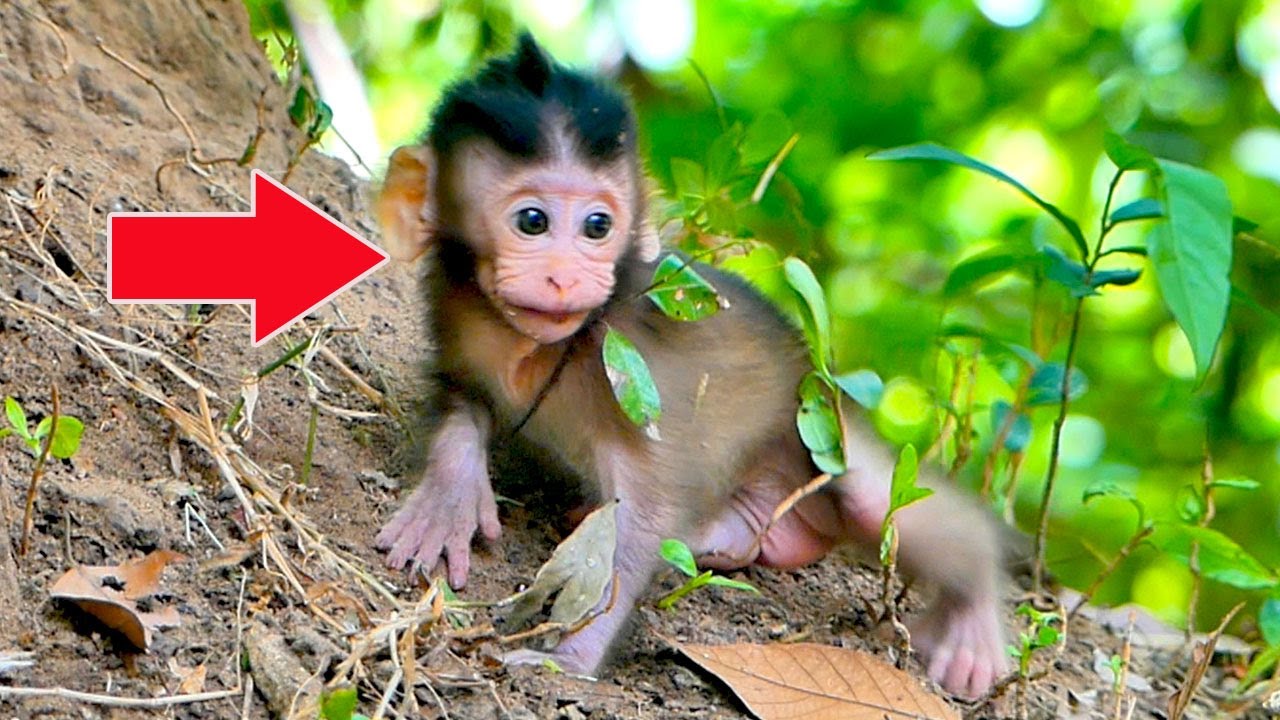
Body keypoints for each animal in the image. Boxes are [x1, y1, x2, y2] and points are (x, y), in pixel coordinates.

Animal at [373, 34, 1007, 698]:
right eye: (532, 221)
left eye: (597, 226)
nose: (565, 277)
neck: (536, 346)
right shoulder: (455, 318)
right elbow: (461, 399)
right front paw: (448, 499)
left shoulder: (635, 372)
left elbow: (638, 523)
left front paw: (572, 657)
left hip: (820, 431)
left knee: (873, 497)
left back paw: (973, 618)